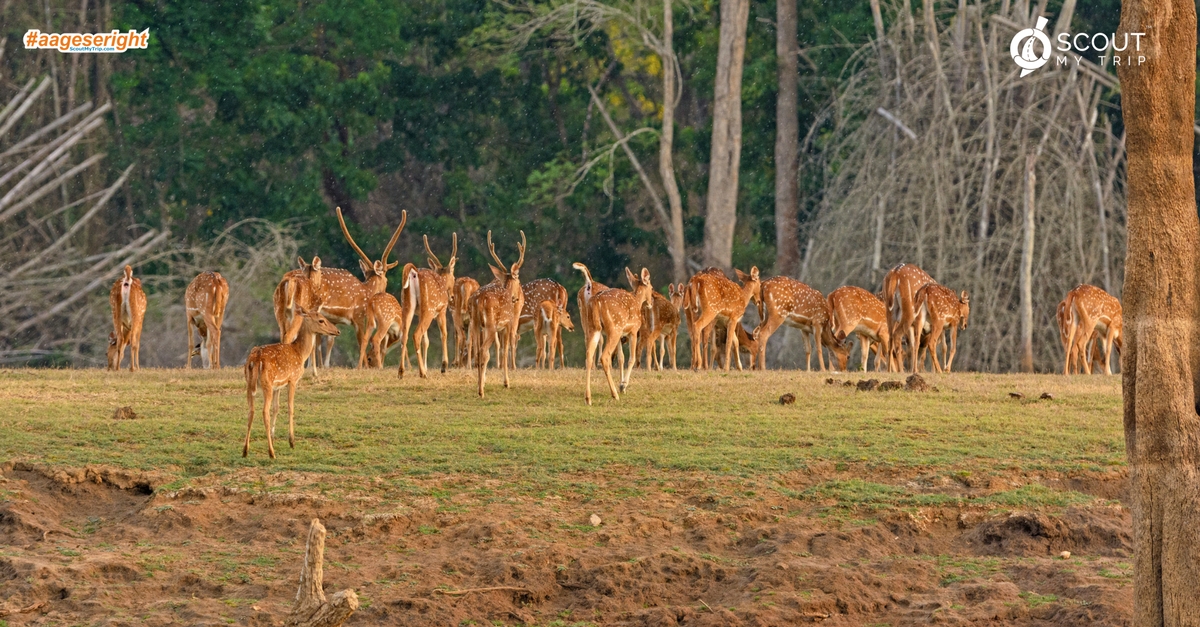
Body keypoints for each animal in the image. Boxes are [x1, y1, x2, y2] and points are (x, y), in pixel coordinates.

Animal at [242, 306, 340, 456]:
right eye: (321, 320)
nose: (337, 331)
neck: (300, 353)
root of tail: (255, 359)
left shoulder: (277, 385)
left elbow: (276, 407)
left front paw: (273, 437)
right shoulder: (293, 379)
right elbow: (290, 407)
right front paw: (292, 442)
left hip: (249, 383)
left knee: (251, 410)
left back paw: (245, 450)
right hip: (266, 383)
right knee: (264, 412)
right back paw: (271, 453)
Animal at [468, 229, 525, 396]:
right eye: (519, 279)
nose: (518, 297)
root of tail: (479, 300)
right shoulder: (508, 324)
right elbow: (505, 351)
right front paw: (506, 382)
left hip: (475, 323)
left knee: (477, 352)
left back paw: (479, 386)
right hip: (491, 325)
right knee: (483, 351)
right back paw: (481, 391)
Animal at [580, 264, 657, 403]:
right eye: (651, 287)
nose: (651, 303)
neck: (637, 301)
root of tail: (596, 302)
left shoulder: (622, 334)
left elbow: (621, 358)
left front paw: (622, 385)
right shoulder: (633, 331)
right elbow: (631, 358)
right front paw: (623, 385)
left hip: (593, 328)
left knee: (588, 355)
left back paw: (588, 398)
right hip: (614, 328)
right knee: (604, 357)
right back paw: (614, 394)